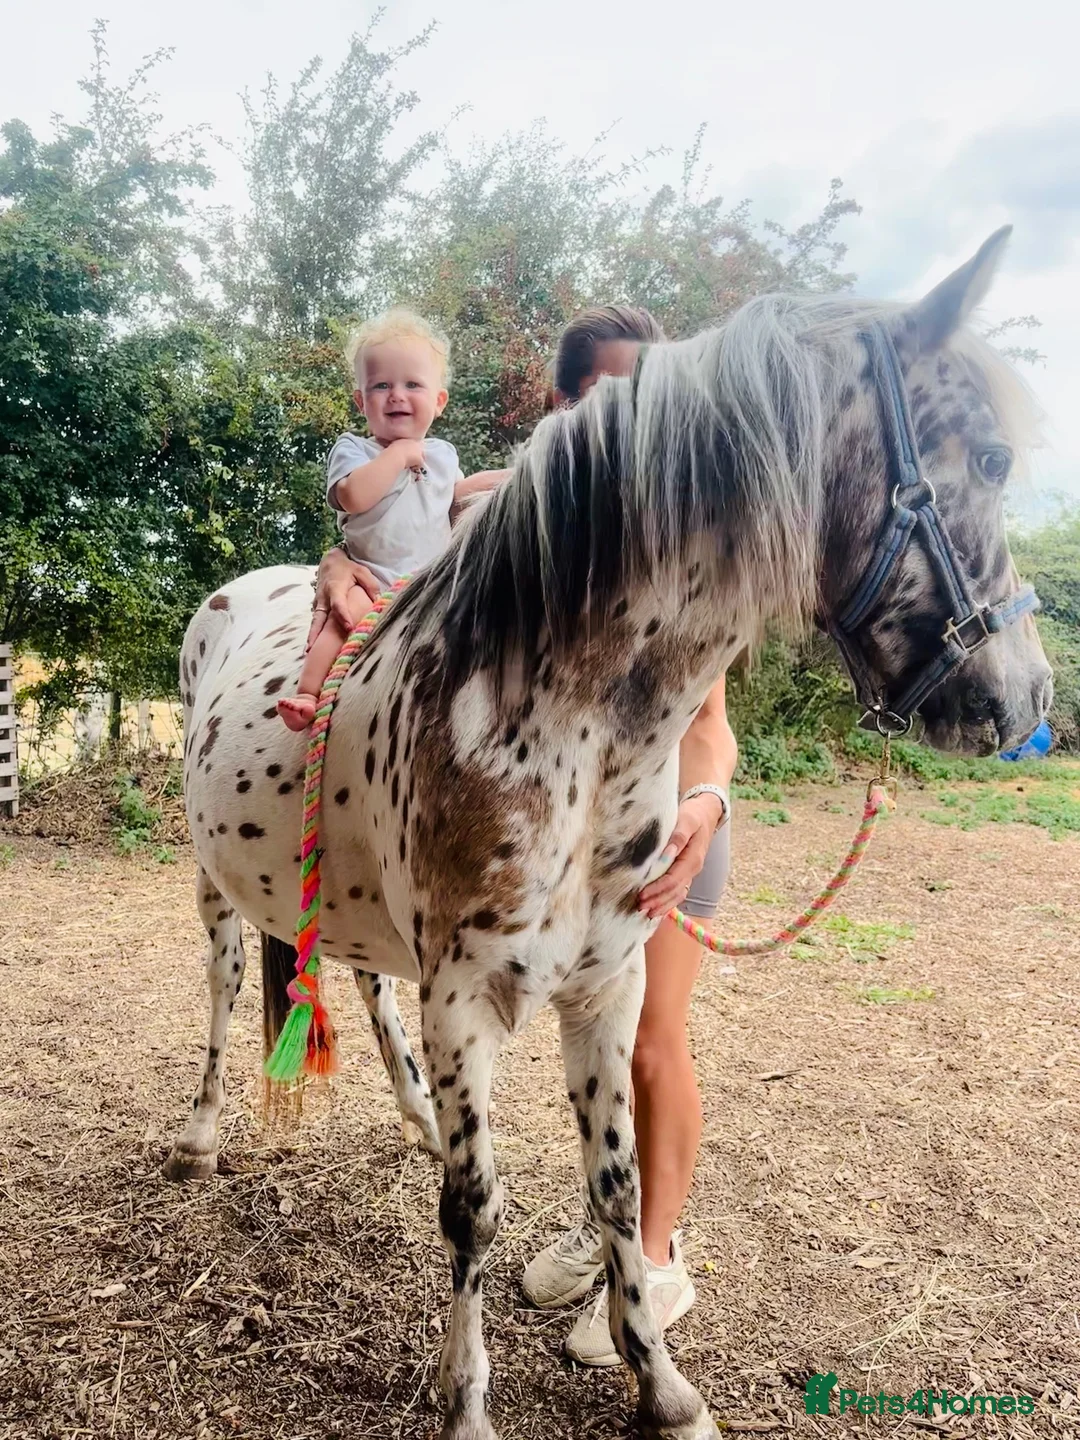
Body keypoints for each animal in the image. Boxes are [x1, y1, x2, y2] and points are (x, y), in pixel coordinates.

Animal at [165, 229, 1051, 1440]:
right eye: (996, 460)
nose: (1026, 697)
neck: (553, 709)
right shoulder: (467, 1002)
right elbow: (472, 1212)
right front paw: (467, 1402)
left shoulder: (607, 988)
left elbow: (621, 1189)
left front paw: (661, 1385)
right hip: (214, 882)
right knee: (217, 991)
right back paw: (202, 1136)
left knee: (362, 981)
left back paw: (411, 1114)